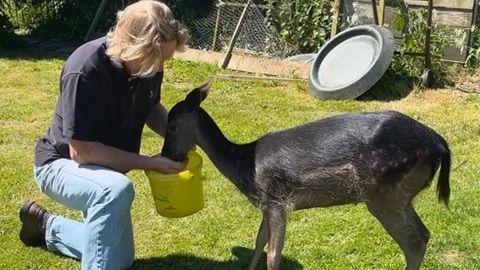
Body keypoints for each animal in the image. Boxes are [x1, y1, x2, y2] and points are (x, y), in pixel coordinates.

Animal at [161, 79, 450, 270]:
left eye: (172, 126)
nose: (168, 155)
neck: (244, 165)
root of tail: (439, 144)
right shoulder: (267, 203)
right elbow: (258, 241)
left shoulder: (278, 200)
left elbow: (273, 254)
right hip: (400, 195)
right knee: (424, 234)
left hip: (384, 193)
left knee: (414, 241)